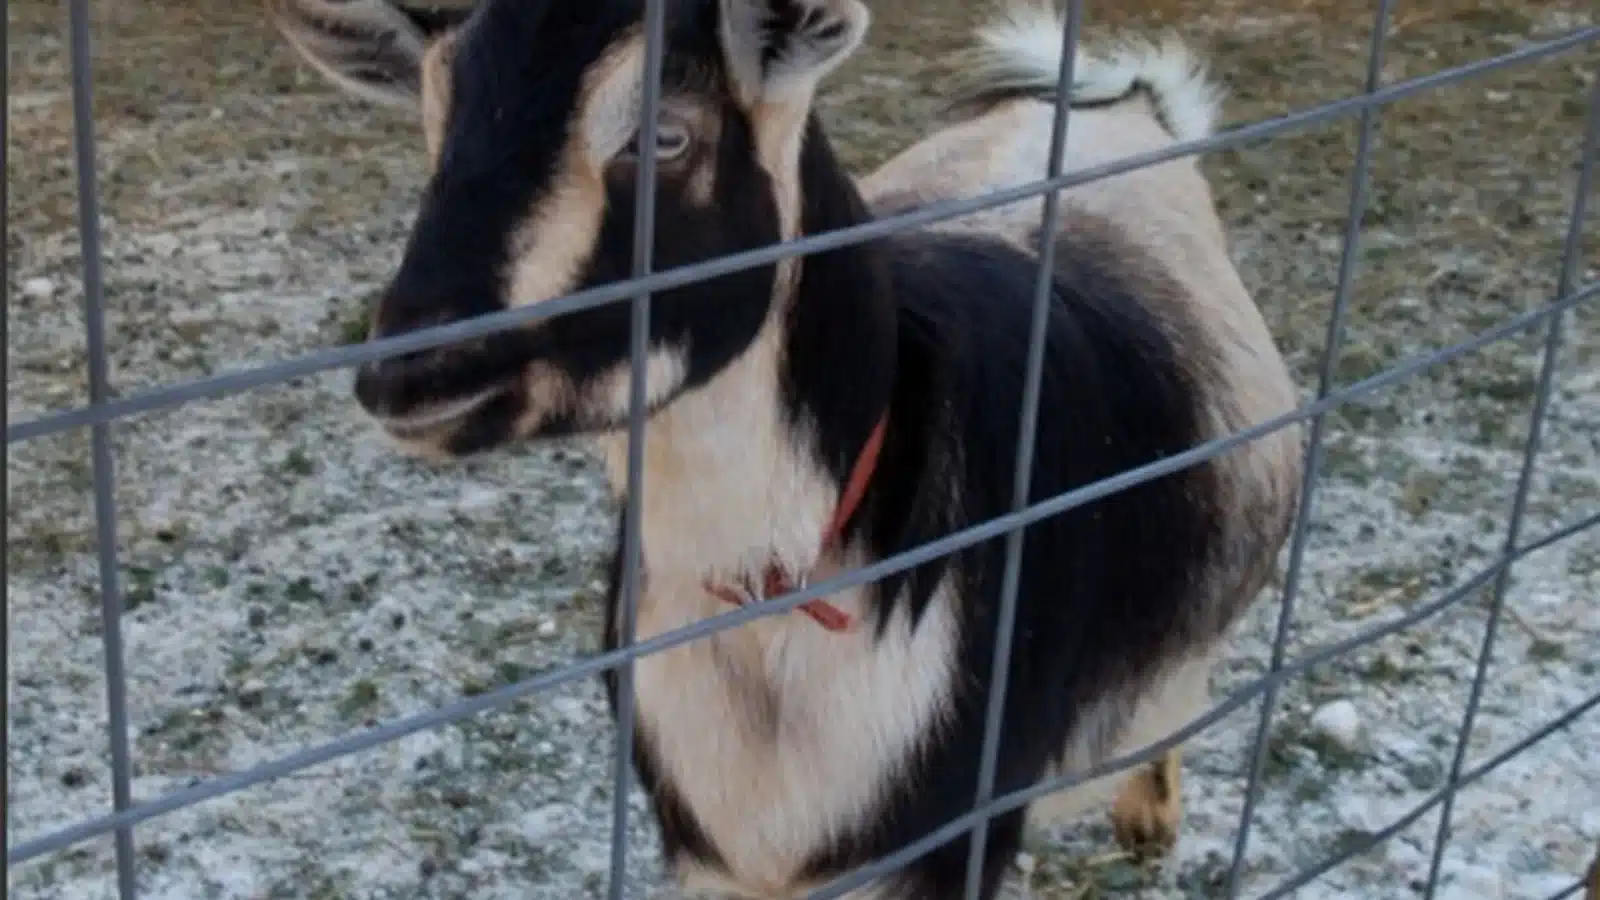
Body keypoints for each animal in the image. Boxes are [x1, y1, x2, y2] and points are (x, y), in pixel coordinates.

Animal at [263, 1, 1304, 897]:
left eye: (666, 135)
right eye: (434, 125)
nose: (411, 372)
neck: (776, 592)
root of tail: (1120, 105)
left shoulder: (952, 838)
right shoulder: (706, 848)